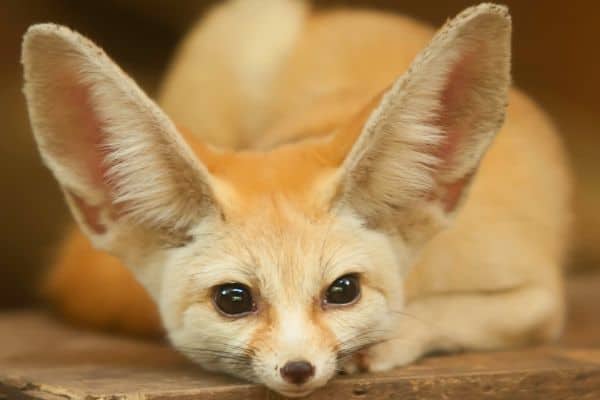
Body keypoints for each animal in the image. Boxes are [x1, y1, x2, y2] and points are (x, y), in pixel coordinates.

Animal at [22, 0, 572, 396]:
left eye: (343, 290)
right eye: (234, 299)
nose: (298, 368)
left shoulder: (539, 298)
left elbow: (444, 315)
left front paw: (386, 341)